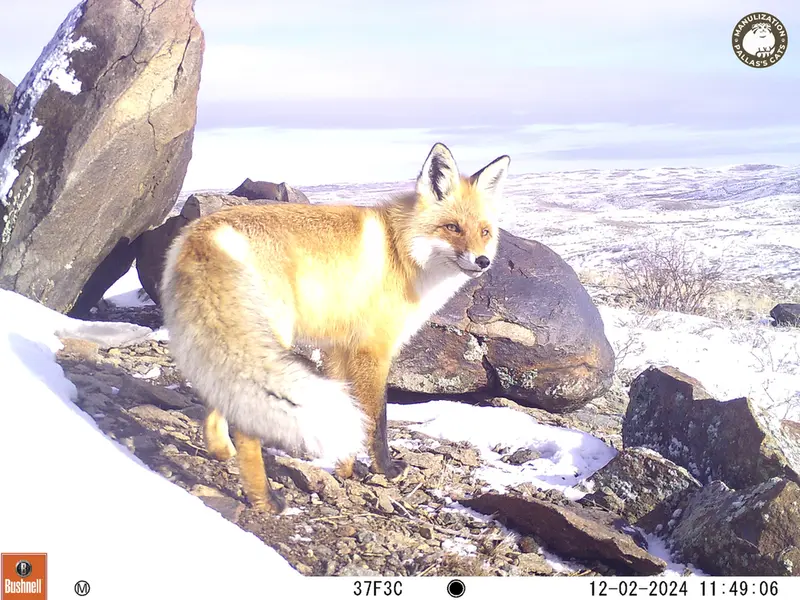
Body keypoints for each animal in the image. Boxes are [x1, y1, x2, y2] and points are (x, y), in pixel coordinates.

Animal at [160, 143, 510, 513]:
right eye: (453, 228)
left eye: (484, 232)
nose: (483, 261)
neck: (400, 249)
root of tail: (207, 233)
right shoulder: (372, 350)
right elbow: (376, 422)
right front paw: (384, 470)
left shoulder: (337, 349)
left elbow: (350, 414)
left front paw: (344, 469)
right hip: (272, 335)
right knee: (246, 424)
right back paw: (264, 499)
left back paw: (221, 453)